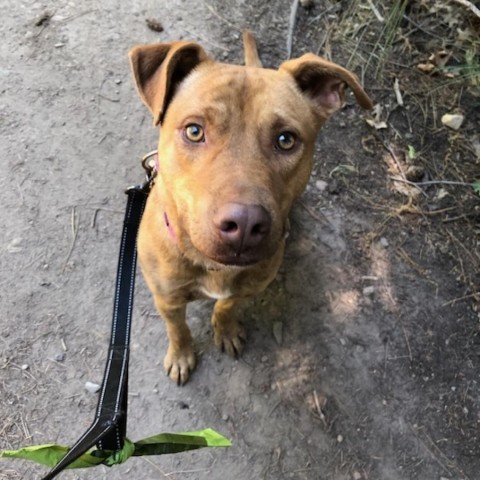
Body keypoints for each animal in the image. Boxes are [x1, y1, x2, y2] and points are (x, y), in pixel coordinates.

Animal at [129, 31, 374, 384]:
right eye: (194, 131)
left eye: (286, 140)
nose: (244, 225)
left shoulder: (250, 287)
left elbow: (226, 307)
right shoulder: (167, 299)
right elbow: (178, 329)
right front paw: (181, 355)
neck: (214, 268)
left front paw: (226, 329)